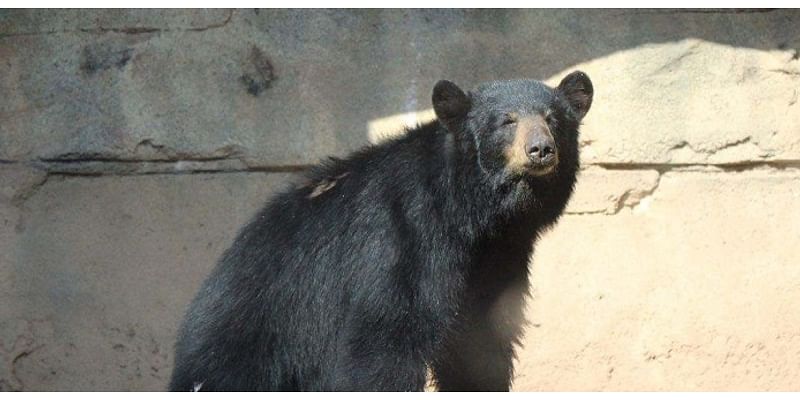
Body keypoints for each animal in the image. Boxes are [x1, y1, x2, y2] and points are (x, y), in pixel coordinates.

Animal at [169, 71, 592, 390]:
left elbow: (480, 339)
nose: (541, 149)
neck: (474, 212)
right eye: (507, 120)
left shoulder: (498, 256)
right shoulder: (402, 237)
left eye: (553, 119)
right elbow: (384, 339)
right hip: (257, 339)